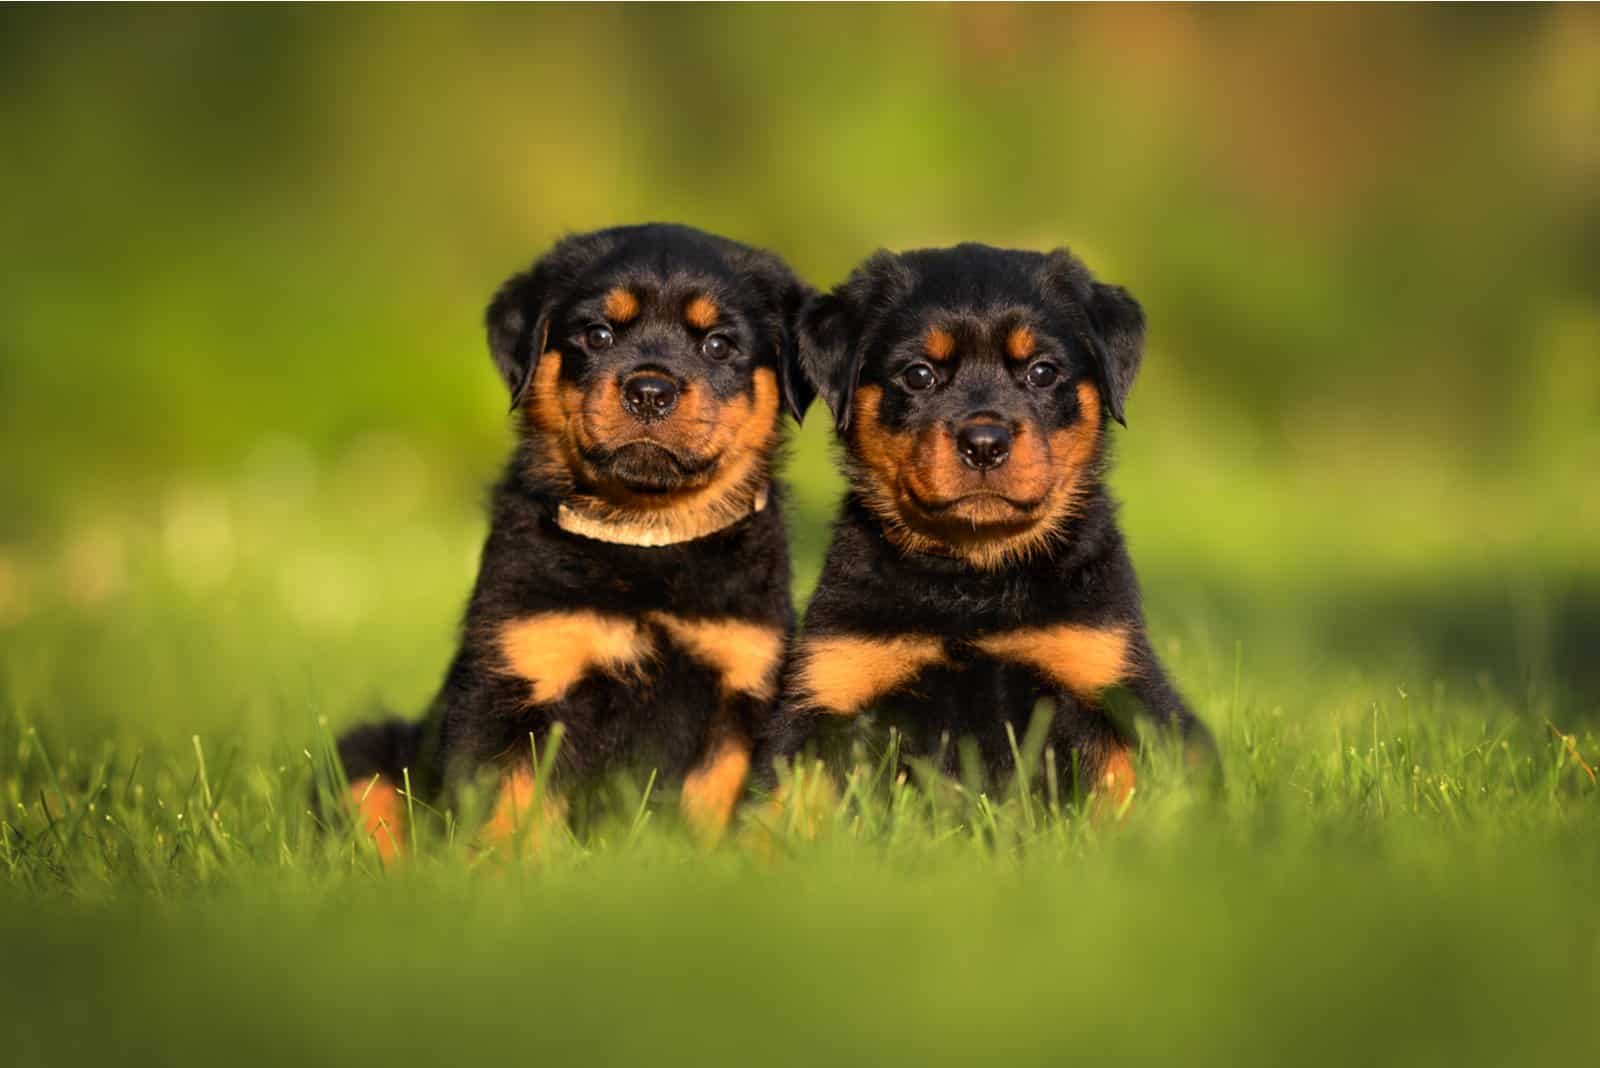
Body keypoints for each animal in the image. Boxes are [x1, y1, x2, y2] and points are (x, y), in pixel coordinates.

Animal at [339, 225, 812, 856]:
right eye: (598, 334)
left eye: (718, 345)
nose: (650, 391)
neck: (647, 536)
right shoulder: (519, 679)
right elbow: (508, 808)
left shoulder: (740, 687)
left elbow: (712, 802)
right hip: (369, 751)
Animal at [761, 246, 1209, 805]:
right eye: (919, 374)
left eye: (1042, 372)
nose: (984, 443)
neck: (973, 576)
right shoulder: (832, 686)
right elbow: (784, 801)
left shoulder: (1109, 675)